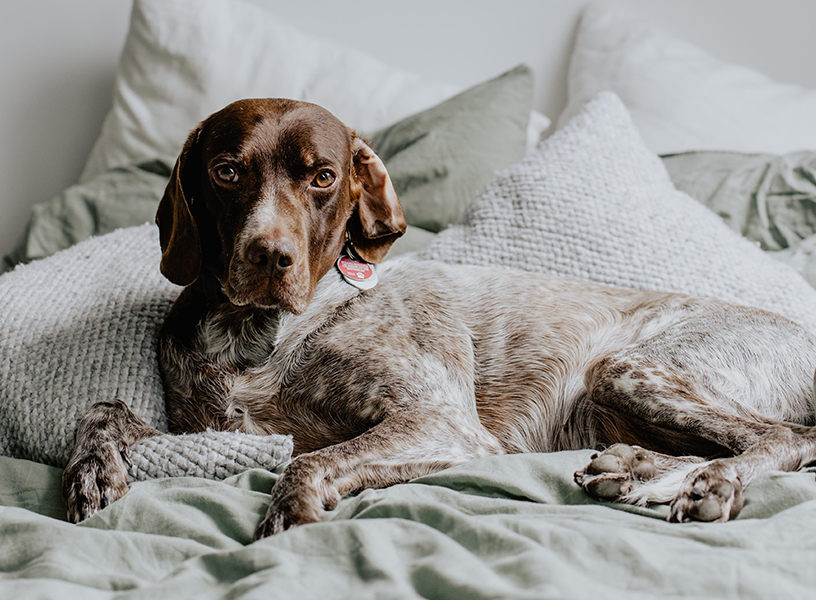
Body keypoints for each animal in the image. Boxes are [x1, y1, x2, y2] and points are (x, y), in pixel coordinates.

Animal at [62, 98, 816, 540]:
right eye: (225, 170)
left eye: (323, 177)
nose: (269, 257)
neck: (259, 337)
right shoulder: (205, 430)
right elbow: (105, 409)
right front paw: (91, 470)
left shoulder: (442, 423)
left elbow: (311, 459)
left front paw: (292, 511)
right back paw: (634, 470)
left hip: (630, 368)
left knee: (781, 439)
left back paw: (709, 486)